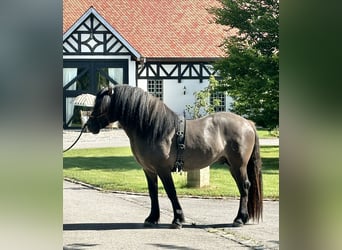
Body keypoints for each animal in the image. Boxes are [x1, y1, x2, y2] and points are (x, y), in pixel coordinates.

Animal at [86, 85, 262, 229]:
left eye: (102, 105)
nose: (89, 126)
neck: (152, 129)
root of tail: (247, 123)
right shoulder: (149, 170)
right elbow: (153, 193)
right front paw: (152, 218)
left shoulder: (163, 169)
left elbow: (171, 192)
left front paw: (178, 220)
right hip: (232, 166)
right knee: (243, 187)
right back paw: (243, 218)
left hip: (238, 165)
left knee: (244, 187)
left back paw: (239, 219)